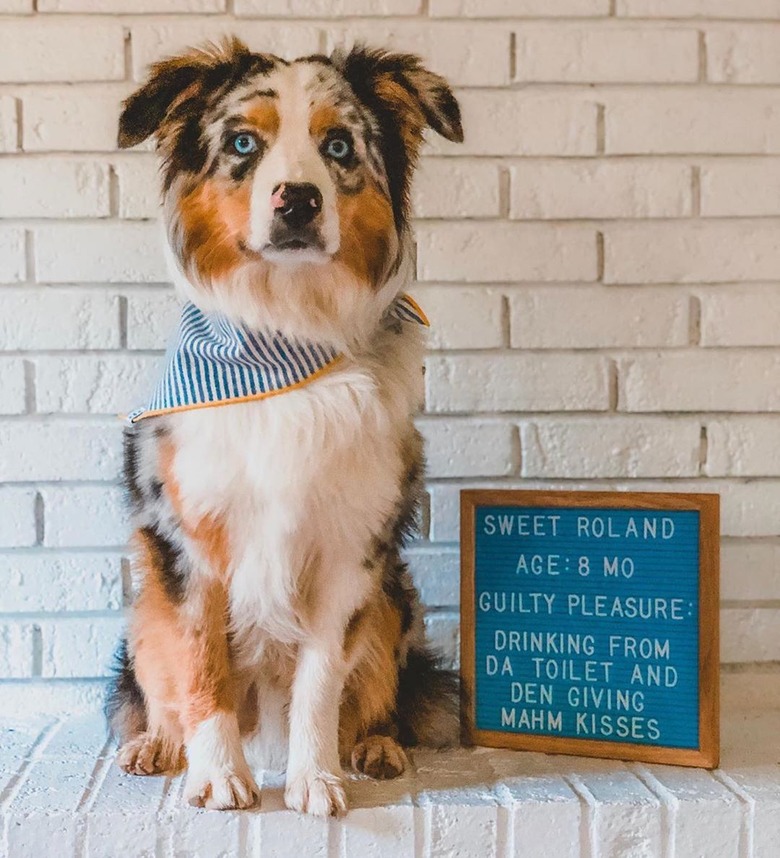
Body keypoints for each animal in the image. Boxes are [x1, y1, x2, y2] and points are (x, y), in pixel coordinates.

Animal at [107, 40, 466, 816]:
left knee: (379, 695)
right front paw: (218, 775)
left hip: (392, 597)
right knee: (157, 685)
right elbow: (201, 666)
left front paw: (315, 777)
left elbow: (322, 680)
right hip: (146, 600)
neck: (283, 337)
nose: (297, 199)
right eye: (245, 143)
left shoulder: (350, 553)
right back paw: (157, 745)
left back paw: (375, 746)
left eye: (338, 146)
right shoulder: (190, 546)